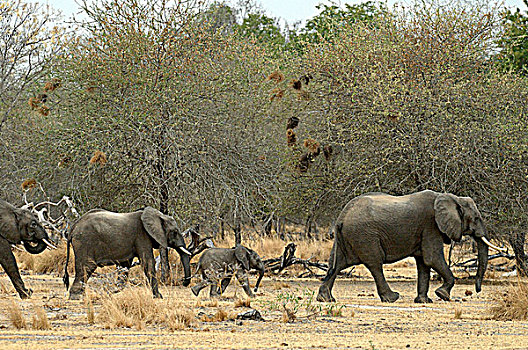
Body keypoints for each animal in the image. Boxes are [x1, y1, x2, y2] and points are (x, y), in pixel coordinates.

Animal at [64, 206, 192, 300]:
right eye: (175, 232)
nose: (184, 282)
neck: (158, 215)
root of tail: (73, 227)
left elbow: (124, 266)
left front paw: (111, 291)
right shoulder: (142, 236)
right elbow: (148, 263)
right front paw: (159, 296)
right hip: (84, 241)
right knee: (87, 266)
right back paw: (76, 297)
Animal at [316, 190, 506, 302]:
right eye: (476, 218)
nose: (477, 290)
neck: (452, 198)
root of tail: (341, 217)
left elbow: (424, 264)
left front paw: (424, 301)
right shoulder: (431, 225)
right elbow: (432, 259)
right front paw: (442, 295)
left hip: (347, 237)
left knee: (336, 264)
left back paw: (326, 299)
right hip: (365, 235)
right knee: (375, 264)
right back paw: (392, 298)